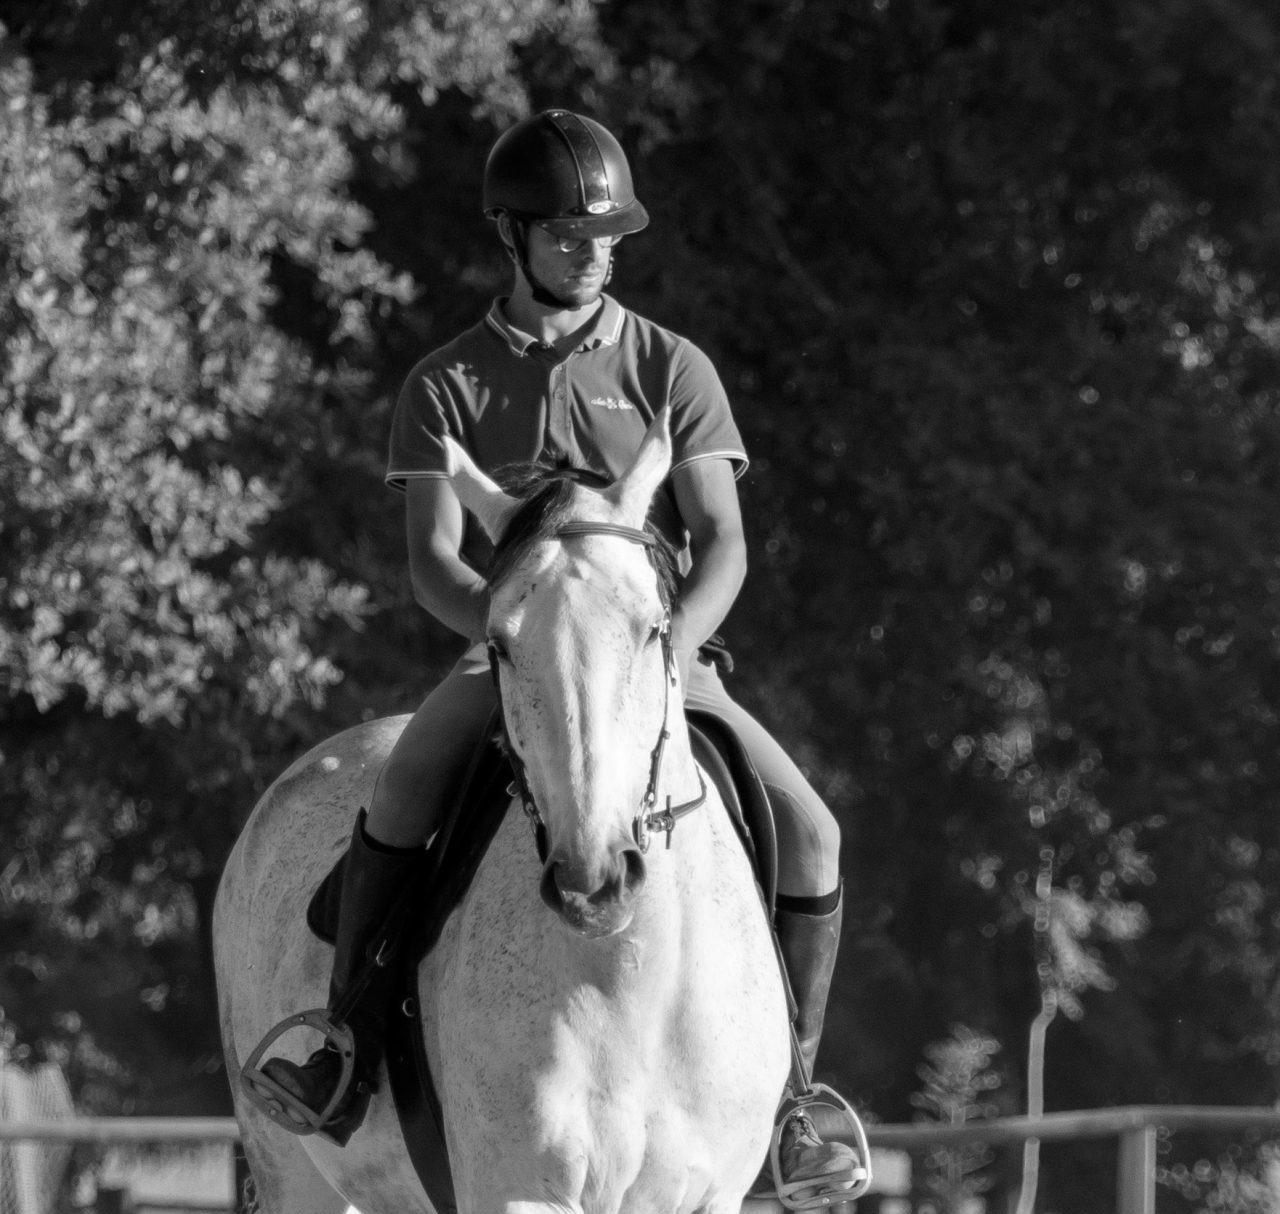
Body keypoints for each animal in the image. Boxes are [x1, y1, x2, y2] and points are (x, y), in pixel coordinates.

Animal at [212, 412, 788, 1208]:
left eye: (652, 627)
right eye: (501, 644)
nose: (593, 879)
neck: (629, 976)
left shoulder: (706, 1194)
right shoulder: (517, 1188)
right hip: (291, 1173)